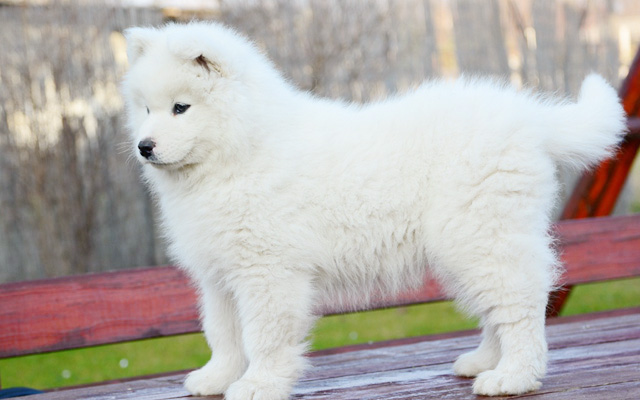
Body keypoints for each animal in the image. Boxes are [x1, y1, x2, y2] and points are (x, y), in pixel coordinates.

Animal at [122, 22, 628, 400]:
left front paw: (258, 384)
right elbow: (223, 333)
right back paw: (485, 360)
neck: (239, 151)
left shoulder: (267, 272)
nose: (144, 147)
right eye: (145, 109)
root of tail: (529, 117)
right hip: (471, 241)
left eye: (181, 108)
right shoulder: (219, 273)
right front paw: (217, 376)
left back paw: (513, 377)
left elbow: (263, 335)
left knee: (518, 303)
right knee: (499, 304)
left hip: (479, 232)